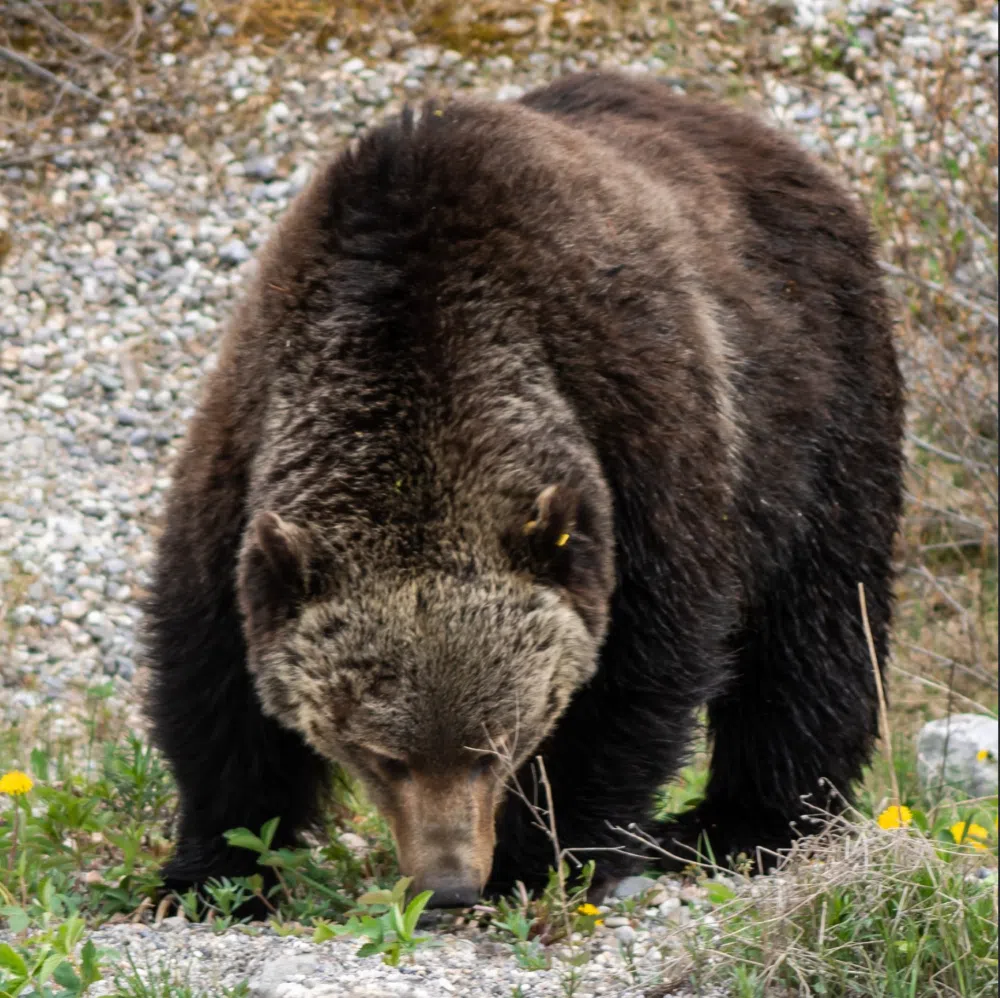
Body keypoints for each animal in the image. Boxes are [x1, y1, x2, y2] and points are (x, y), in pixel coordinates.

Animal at [142, 70, 904, 911]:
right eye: (382, 754)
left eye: (494, 745)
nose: (447, 883)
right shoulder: (243, 450)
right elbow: (213, 687)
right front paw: (211, 871)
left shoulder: (635, 438)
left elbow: (633, 675)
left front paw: (544, 855)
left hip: (814, 397)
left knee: (815, 622)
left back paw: (743, 822)